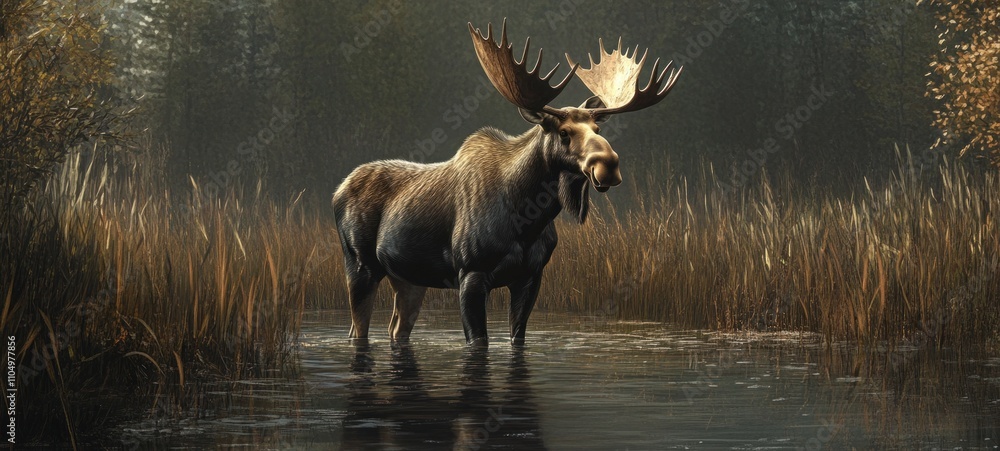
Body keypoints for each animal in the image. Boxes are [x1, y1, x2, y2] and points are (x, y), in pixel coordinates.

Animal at [332, 19, 681, 345]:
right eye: (564, 132)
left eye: (598, 129)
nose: (607, 165)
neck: (526, 220)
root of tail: (338, 189)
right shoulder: (470, 273)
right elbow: (479, 341)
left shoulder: (531, 276)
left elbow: (517, 337)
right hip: (360, 264)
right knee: (357, 329)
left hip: (407, 277)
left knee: (396, 329)